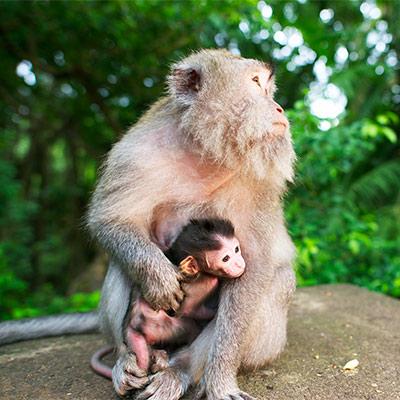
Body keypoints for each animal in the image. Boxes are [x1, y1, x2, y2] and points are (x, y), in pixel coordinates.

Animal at [91, 219, 245, 378]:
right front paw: (212, 312)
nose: (240, 264)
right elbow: (188, 310)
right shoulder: (202, 283)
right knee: (188, 327)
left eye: (236, 249)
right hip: (161, 327)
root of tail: (132, 323)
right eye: (225, 258)